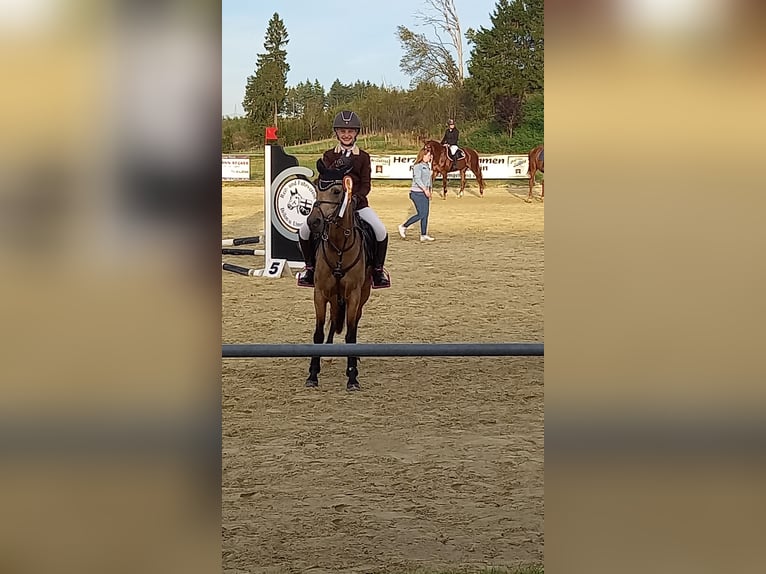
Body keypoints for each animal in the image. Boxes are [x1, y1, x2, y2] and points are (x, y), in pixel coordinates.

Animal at [304, 162, 374, 392]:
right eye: (316, 187)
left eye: (336, 191)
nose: (313, 221)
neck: (339, 248)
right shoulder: (320, 293)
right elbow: (317, 333)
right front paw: (312, 375)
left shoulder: (353, 295)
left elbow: (351, 334)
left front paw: (352, 377)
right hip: (334, 295)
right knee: (334, 318)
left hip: (363, 294)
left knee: (353, 322)